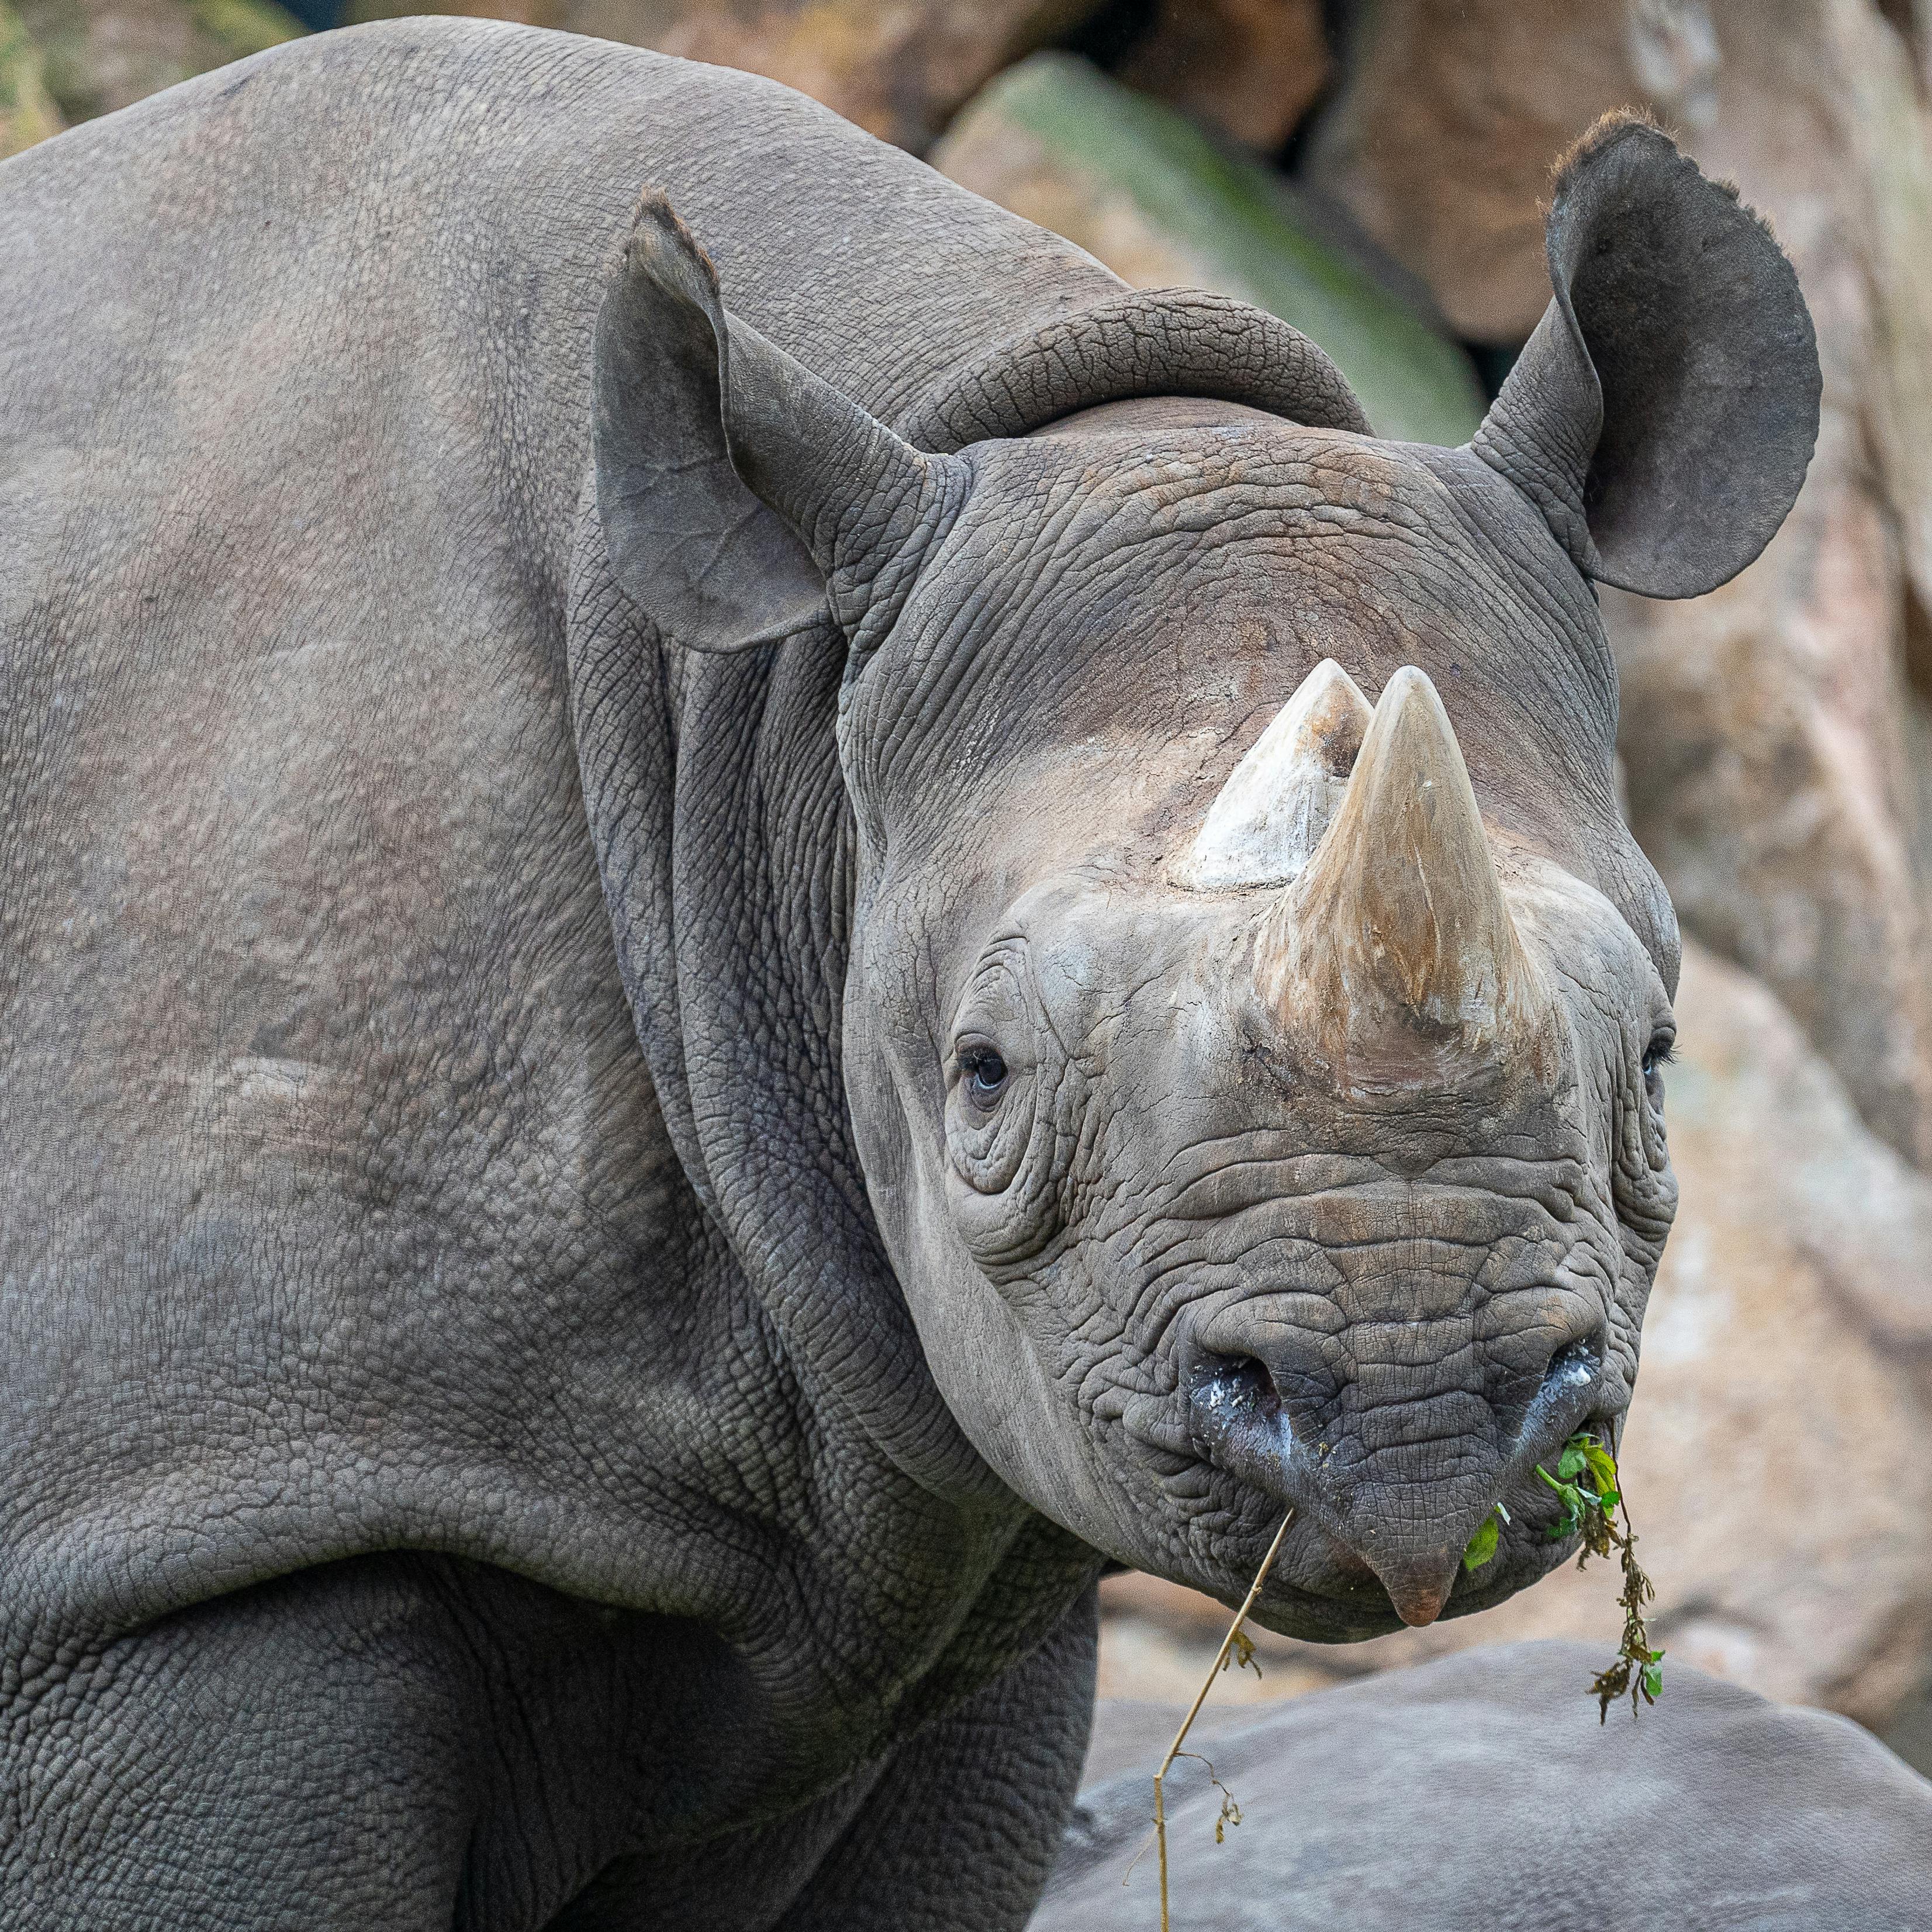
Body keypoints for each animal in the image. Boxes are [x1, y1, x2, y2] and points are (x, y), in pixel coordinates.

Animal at [0, 20, 1818, 1929]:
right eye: (983, 1078)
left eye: (1659, 1060)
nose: (1418, 1425)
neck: (768, 739)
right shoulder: (195, 1531)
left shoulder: (950, 1549)